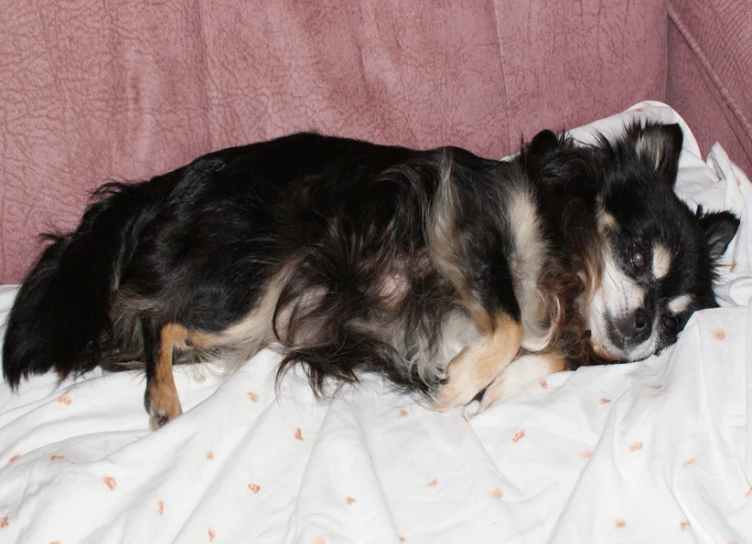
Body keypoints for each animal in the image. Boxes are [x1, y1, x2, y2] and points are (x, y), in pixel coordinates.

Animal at [1, 120, 740, 430]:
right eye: (637, 255)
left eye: (672, 322)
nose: (642, 324)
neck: (567, 278)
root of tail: (163, 187)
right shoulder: (467, 220)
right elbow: (505, 325)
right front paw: (459, 387)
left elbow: (545, 359)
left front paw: (495, 391)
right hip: (253, 283)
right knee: (155, 317)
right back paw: (163, 401)